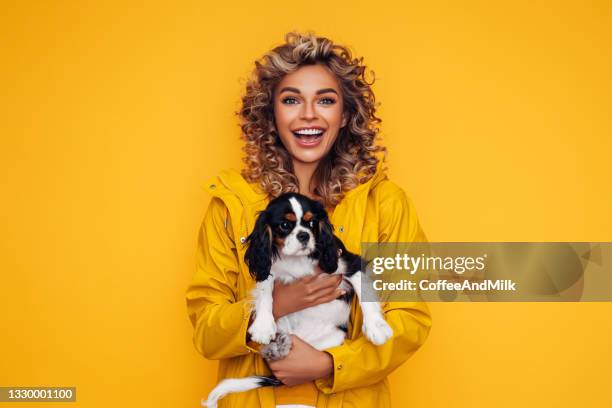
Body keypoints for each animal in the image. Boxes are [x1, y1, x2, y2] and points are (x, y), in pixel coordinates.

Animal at [201, 193, 392, 406]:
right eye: (285, 225)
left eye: (312, 222)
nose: (304, 235)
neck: (297, 260)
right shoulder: (269, 270)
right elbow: (265, 292)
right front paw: (263, 326)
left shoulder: (347, 262)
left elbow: (362, 291)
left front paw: (376, 328)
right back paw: (276, 347)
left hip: (332, 339)